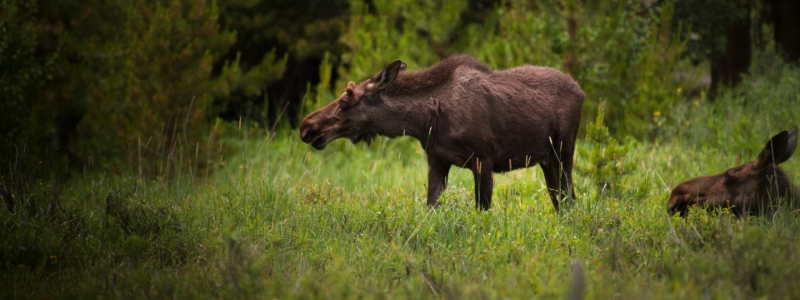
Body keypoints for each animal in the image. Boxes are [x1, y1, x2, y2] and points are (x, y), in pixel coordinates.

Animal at [296, 56, 584, 211]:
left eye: (345, 102)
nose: (306, 127)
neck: (425, 122)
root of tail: (582, 92)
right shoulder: (436, 160)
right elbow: (430, 208)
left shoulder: (483, 159)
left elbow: (482, 210)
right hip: (547, 159)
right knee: (561, 202)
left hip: (564, 151)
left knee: (570, 200)